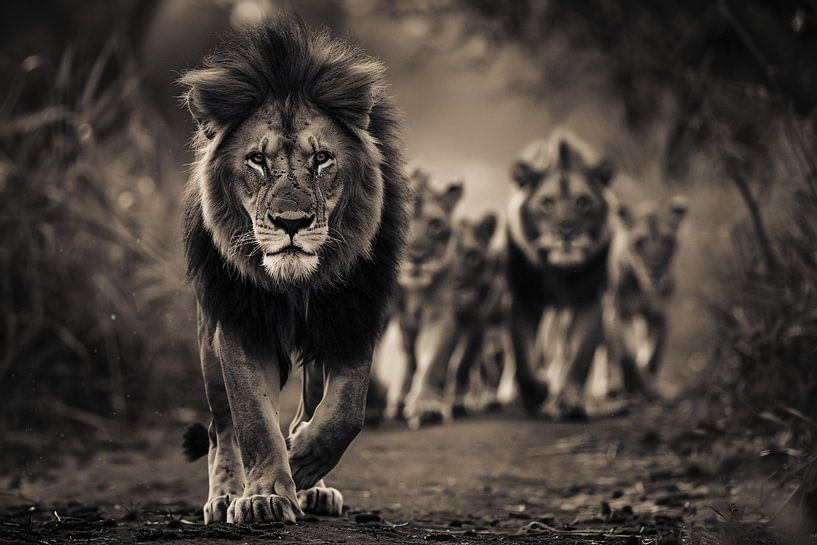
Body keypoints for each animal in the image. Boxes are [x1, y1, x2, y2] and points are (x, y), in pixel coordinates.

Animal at [178, 17, 408, 524]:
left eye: (321, 159)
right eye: (257, 160)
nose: (291, 222)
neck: (298, 285)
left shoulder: (353, 314)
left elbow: (346, 411)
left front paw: (302, 459)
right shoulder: (241, 323)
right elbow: (252, 422)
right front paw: (262, 496)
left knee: (311, 400)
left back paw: (313, 486)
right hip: (208, 337)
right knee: (220, 427)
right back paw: (224, 495)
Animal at [504, 130, 617, 419]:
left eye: (583, 202)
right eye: (547, 203)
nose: (567, 231)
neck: (558, 269)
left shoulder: (589, 298)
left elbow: (579, 357)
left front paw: (569, 401)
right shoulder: (525, 299)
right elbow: (524, 358)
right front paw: (537, 392)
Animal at [602, 196, 688, 395]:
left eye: (668, 240)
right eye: (639, 242)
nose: (656, 270)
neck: (646, 289)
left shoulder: (660, 314)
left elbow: (654, 353)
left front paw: (650, 384)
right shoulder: (620, 313)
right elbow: (626, 354)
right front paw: (633, 382)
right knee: (610, 352)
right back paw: (611, 384)